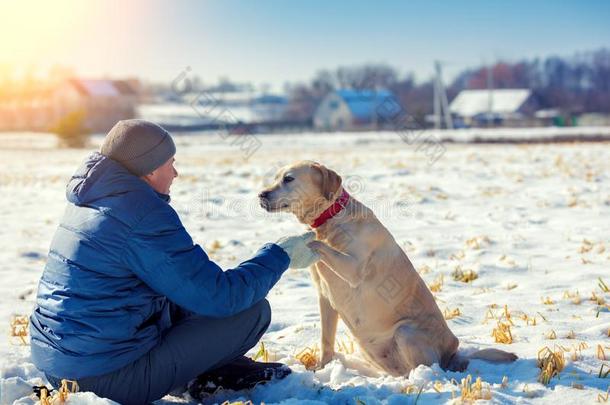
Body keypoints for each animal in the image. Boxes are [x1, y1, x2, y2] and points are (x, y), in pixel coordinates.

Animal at [258, 161, 516, 376]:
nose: (261, 194)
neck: (330, 220)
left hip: (406, 332)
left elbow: (316, 244)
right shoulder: (324, 297)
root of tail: (453, 354)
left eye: (288, 178)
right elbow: (326, 340)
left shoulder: (352, 269)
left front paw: (298, 242)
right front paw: (321, 368)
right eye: (276, 177)